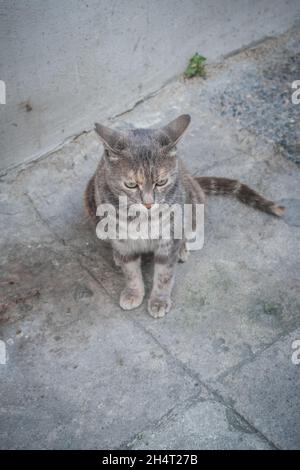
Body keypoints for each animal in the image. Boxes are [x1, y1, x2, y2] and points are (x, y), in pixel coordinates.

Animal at [84, 114, 284, 320]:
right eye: (131, 184)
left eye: (161, 182)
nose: (148, 203)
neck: (143, 219)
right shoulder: (121, 236)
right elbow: (131, 270)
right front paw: (133, 291)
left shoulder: (169, 236)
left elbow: (164, 274)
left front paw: (159, 300)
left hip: (194, 202)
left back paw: (182, 248)